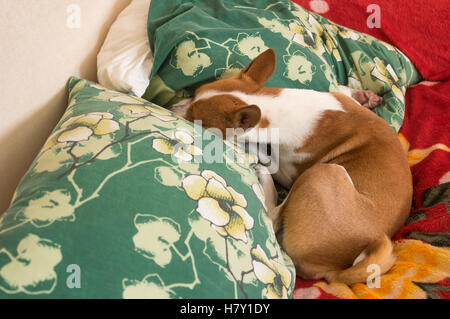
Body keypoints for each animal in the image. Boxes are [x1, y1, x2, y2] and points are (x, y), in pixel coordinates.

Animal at [171, 48, 414, 284]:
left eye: (195, 119)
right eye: (193, 94)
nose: (172, 105)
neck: (270, 107)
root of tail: (333, 272)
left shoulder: (288, 173)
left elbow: (264, 155)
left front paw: (250, 149)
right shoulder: (338, 99)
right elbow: (342, 89)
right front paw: (364, 96)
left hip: (323, 172)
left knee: (273, 216)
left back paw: (263, 177)